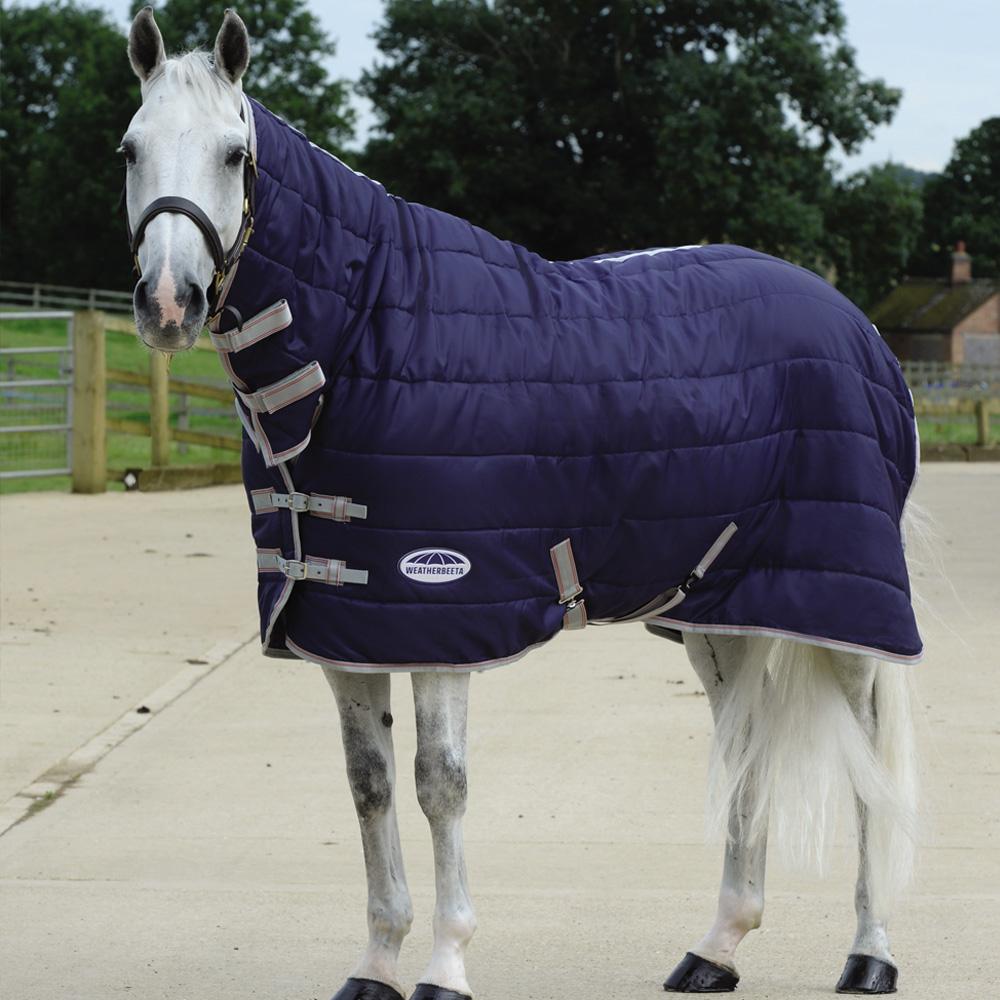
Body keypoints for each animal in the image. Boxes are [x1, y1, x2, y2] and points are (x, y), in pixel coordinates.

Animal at [122, 9, 921, 998]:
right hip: (721, 614)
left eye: (234, 154)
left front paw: (445, 965)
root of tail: (861, 330)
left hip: (845, 612)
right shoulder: (348, 628)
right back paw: (716, 949)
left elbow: (439, 783)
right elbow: (369, 784)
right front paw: (377, 964)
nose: (168, 302)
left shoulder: (441, 613)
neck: (359, 341)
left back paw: (870, 953)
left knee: (871, 763)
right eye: (130, 149)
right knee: (744, 747)